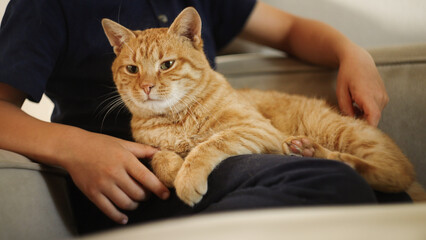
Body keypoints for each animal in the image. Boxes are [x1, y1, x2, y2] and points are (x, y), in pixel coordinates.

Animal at [102, 7, 420, 206]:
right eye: (132, 69)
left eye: (166, 65)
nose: (146, 87)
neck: (175, 118)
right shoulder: (152, 146)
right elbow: (159, 157)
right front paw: (172, 170)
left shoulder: (256, 129)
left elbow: (208, 144)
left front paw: (187, 176)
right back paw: (308, 151)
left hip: (337, 131)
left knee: (394, 173)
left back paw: (316, 153)